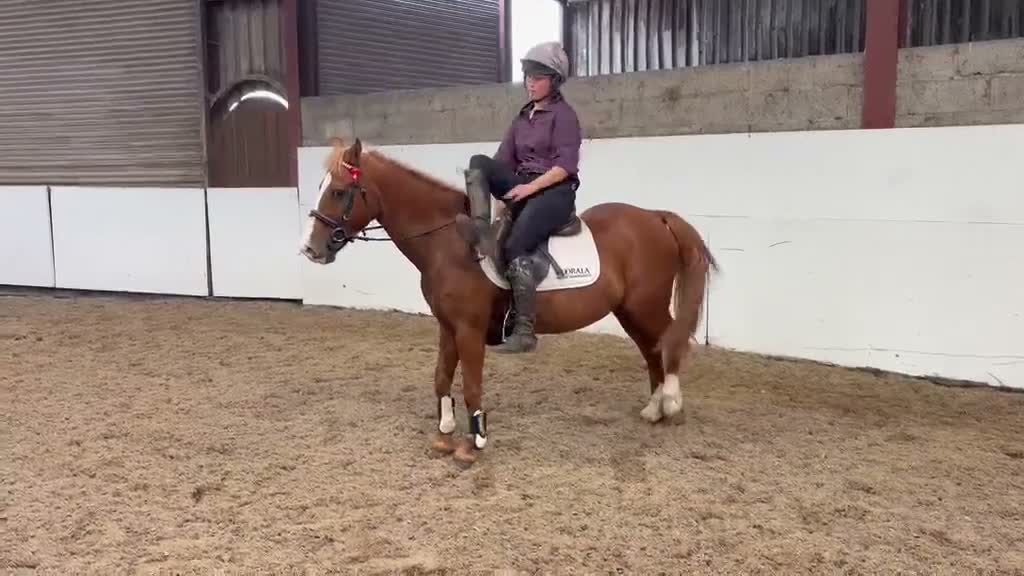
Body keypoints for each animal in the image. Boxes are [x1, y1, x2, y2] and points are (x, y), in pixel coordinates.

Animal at [301, 138, 718, 465]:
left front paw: (474, 441)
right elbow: (441, 377)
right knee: (653, 349)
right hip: (630, 310)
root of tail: (655, 217)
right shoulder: (447, 326)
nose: (310, 249)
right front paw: (445, 431)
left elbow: (471, 385)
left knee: (671, 344)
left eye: (338, 191)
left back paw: (672, 403)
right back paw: (654, 408)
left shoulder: (468, 329)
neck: (451, 243)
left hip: (645, 305)